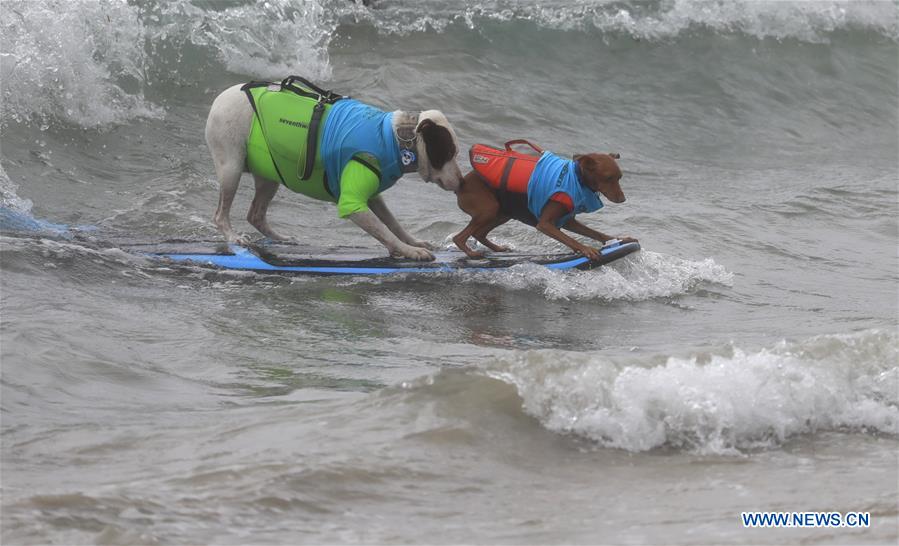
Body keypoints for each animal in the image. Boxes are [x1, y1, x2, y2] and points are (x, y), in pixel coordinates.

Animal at [205, 78, 464, 262]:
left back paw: (281, 238)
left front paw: (414, 242)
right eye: (449, 152)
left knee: (255, 214)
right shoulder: (353, 203)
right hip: (231, 167)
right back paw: (233, 236)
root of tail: (222, 96)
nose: (462, 183)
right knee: (220, 214)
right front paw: (409, 251)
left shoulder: (373, 196)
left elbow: (392, 224)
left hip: (269, 173)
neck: (395, 138)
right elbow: (383, 230)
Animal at [454, 140, 636, 262]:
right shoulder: (545, 224)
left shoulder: (568, 221)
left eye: (620, 177)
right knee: (459, 237)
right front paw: (586, 249)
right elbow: (570, 239)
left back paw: (497, 248)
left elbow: (596, 233)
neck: (576, 178)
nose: (623, 199)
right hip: (489, 209)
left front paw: (620, 239)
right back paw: (472, 253)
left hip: (503, 212)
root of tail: (461, 183)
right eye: (608, 178)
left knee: (478, 233)